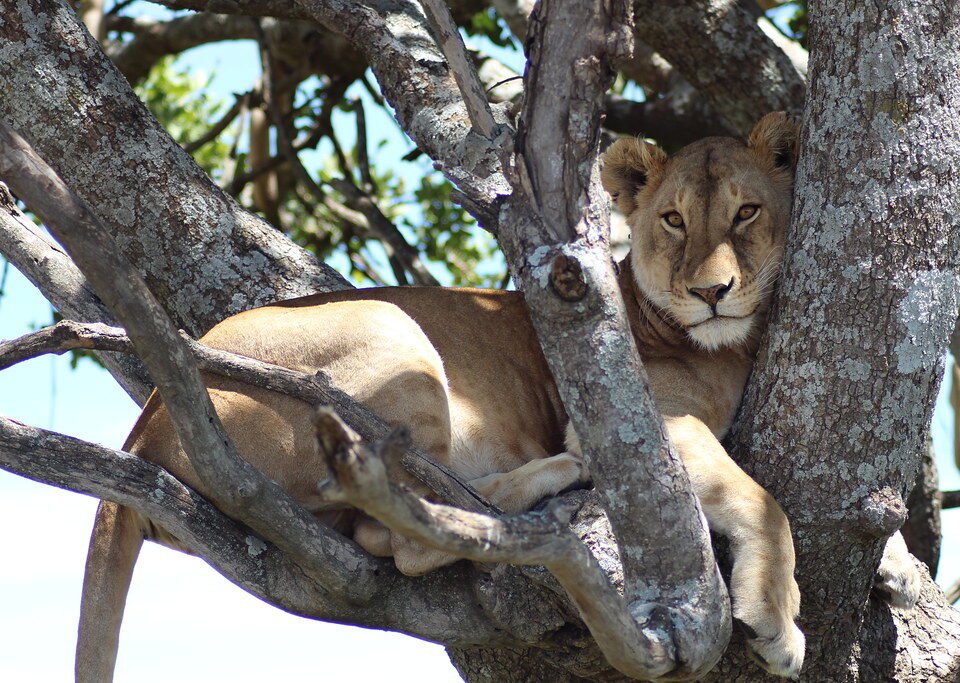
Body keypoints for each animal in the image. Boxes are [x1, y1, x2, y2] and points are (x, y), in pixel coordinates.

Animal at [75, 113, 919, 682]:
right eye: (674, 219)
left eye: (746, 211)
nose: (711, 291)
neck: (723, 345)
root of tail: (148, 422)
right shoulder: (637, 425)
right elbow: (760, 496)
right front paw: (777, 615)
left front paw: (901, 564)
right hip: (395, 334)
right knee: (402, 535)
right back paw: (552, 483)